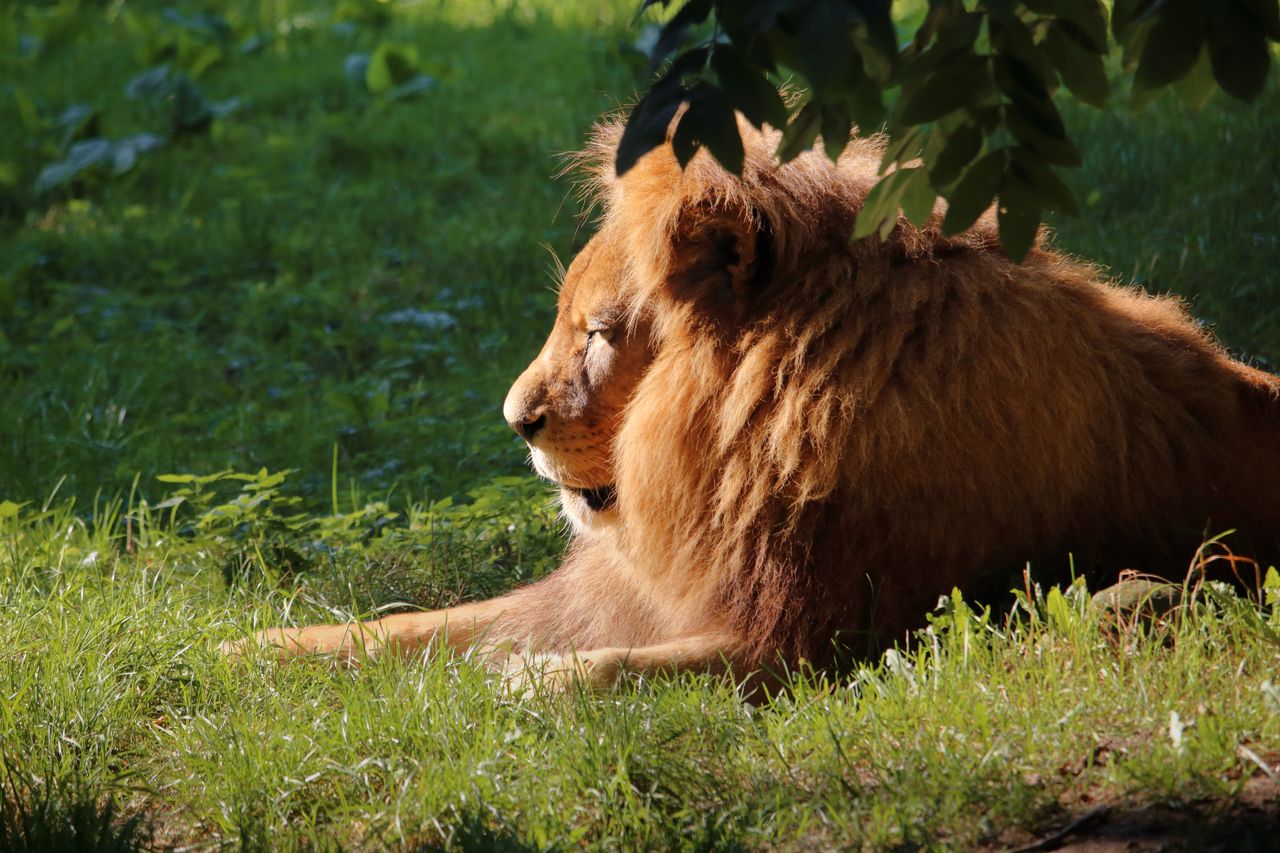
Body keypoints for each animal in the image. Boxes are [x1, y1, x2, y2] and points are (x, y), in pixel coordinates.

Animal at [226, 118, 1280, 689]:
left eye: (599, 334)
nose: (514, 421)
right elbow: (404, 625)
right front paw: (229, 649)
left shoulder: (826, 635)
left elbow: (618, 669)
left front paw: (523, 683)